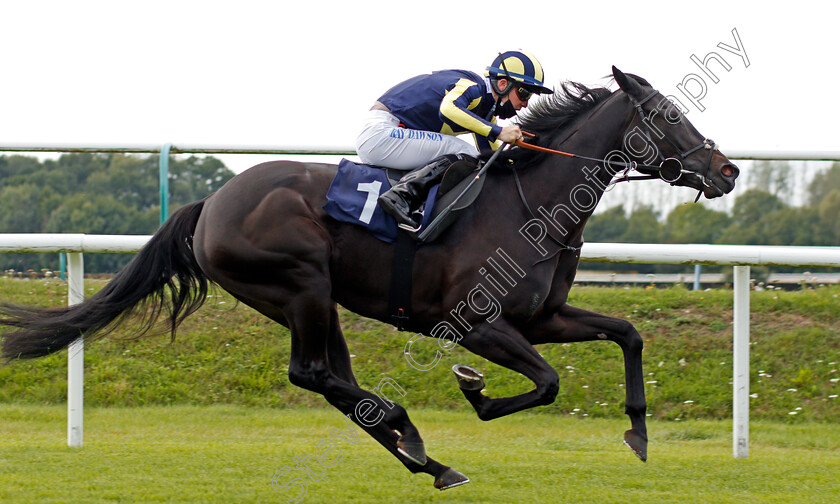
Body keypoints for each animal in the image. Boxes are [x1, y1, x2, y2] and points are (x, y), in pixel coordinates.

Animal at [0, 66, 736, 488]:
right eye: (669, 116)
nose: (726, 170)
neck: (528, 202)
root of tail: (210, 204)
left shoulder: (541, 318)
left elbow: (629, 333)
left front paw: (639, 433)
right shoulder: (477, 324)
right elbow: (548, 383)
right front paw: (474, 392)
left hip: (313, 298)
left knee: (334, 380)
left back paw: (424, 458)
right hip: (299, 284)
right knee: (313, 374)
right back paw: (415, 438)